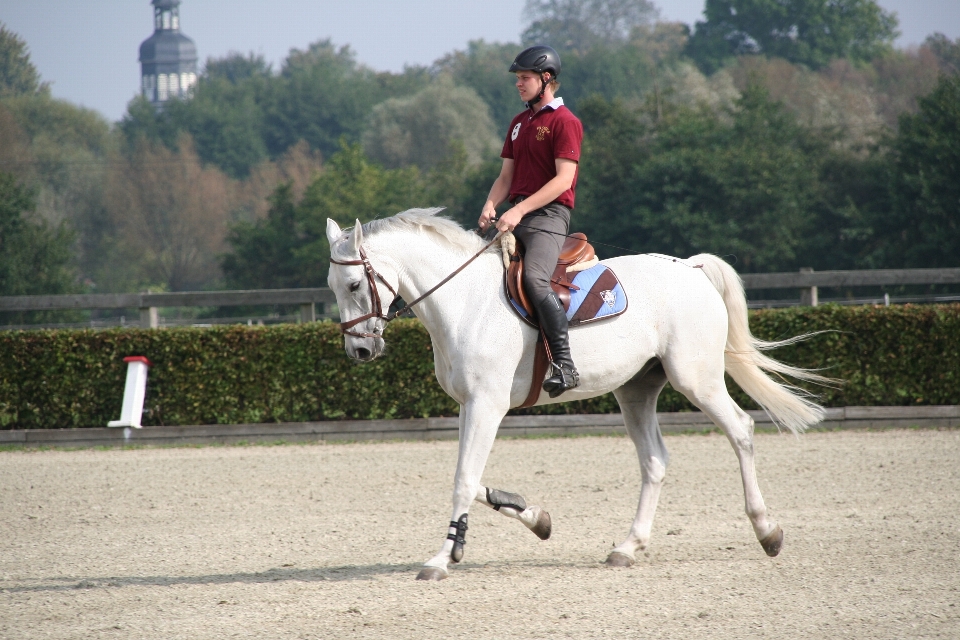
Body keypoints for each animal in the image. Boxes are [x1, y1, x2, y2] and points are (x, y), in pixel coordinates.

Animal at [326, 209, 828, 580]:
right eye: (333, 288)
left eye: (354, 284)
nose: (359, 350)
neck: (464, 301)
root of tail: (689, 267)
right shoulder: (471, 407)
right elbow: (470, 476)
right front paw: (536, 518)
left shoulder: (487, 405)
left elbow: (464, 480)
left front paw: (443, 557)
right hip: (636, 390)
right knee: (654, 460)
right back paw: (628, 547)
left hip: (696, 379)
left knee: (740, 430)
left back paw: (767, 531)